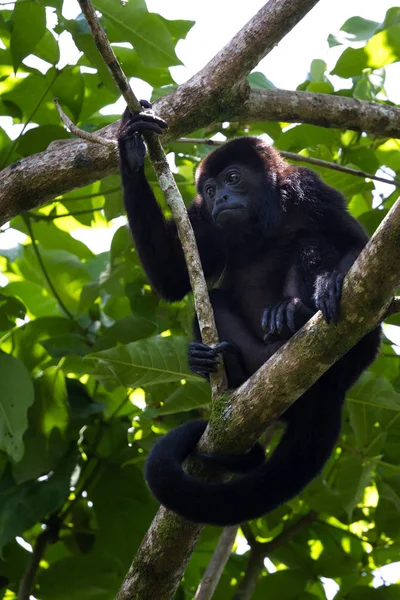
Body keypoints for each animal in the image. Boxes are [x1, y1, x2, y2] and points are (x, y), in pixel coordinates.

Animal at [118, 108, 382, 524]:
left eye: (233, 178)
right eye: (210, 190)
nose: (223, 197)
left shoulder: (310, 188)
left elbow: (356, 244)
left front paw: (331, 282)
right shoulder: (202, 216)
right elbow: (173, 278)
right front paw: (130, 149)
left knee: (312, 244)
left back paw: (295, 314)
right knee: (213, 298)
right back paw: (219, 364)